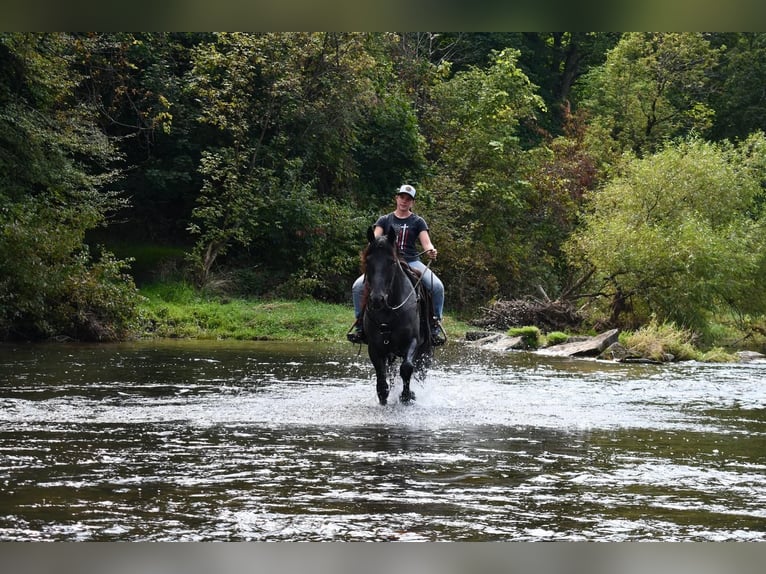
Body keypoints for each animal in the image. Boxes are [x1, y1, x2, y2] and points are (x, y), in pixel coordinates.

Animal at [360, 225, 432, 404]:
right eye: (368, 261)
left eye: (391, 261)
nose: (377, 299)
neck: (388, 311)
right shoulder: (375, 347)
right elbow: (381, 375)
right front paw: (383, 396)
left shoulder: (413, 342)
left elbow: (406, 368)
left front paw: (407, 396)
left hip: (425, 350)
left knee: (420, 372)